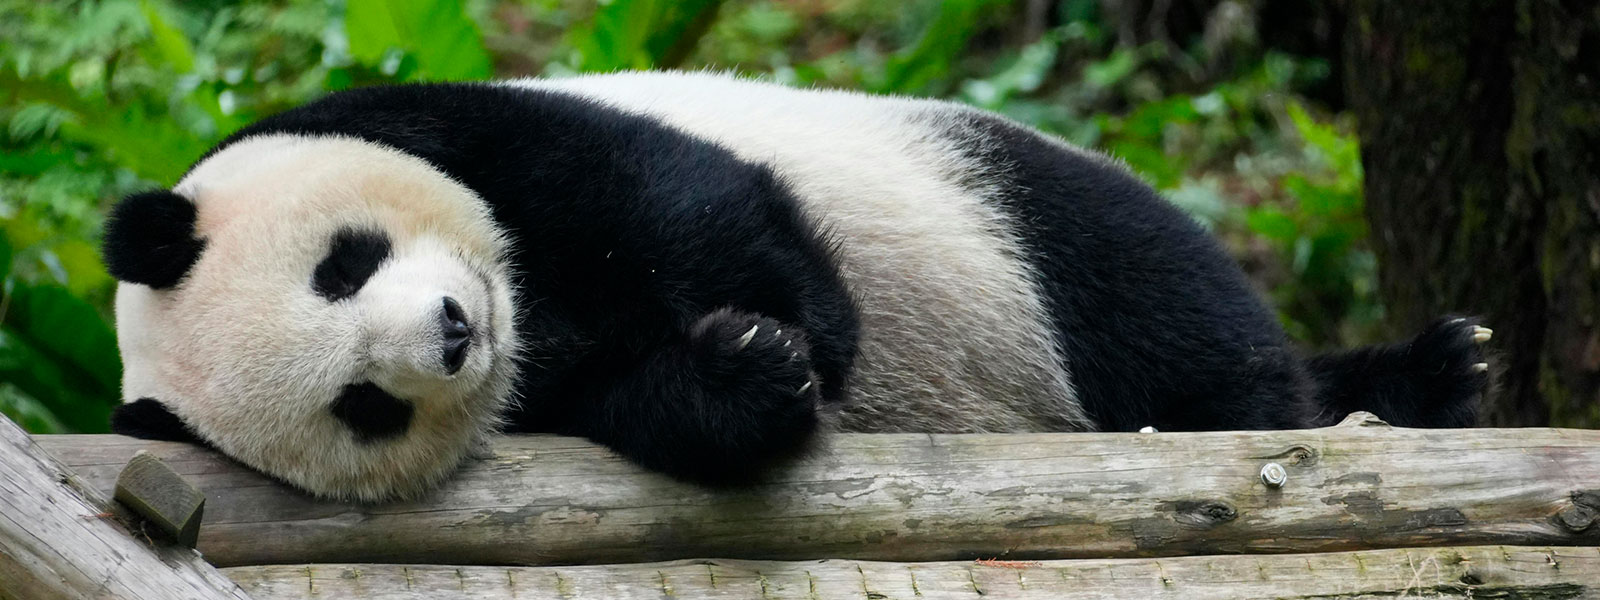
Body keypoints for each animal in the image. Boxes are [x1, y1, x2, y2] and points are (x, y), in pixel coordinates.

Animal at [101, 71, 1491, 502]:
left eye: (344, 263)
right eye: (363, 406)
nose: (452, 334)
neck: (533, 314)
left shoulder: (461, 127)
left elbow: (687, 201)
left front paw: (796, 329)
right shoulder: (548, 398)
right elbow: (650, 404)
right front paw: (748, 372)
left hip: (988, 205)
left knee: (1159, 311)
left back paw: (1408, 379)